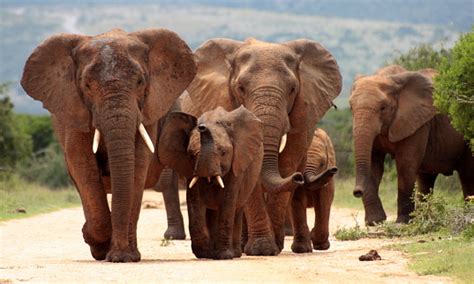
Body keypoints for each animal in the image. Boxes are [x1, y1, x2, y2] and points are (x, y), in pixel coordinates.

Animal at [21, 28, 195, 262]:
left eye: (140, 82)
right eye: (86, 86)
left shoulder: (147, 112)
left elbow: (137, 165)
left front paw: (123, 257)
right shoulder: (74, 110)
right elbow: (83, 166)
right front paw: (97, 244)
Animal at [157, 106, 272, 260]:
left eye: (223, 153)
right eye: (191, 155)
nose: (202, 127)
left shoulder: (236, 165)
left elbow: (228, 202)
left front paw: (224, 256)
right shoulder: (190, 169)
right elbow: (194, 202)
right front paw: (204, 253)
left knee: (237, 209)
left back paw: (235, 253)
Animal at [183, 36, 342, 252]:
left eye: (292, 89)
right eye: (240, 88)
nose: (299, 177)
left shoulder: (305, 108)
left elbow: (288, 160)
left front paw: (274, 247)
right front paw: (263, 249)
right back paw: (242, 247)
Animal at [350, 63, 472, 224]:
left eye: (383, 108)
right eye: (351, 107)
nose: (357, 192)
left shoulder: (417, 121)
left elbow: (406, 164)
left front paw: (401, 222)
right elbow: (372, 163)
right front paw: (375, 222)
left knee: (468, 174)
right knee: (426, 178)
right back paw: (422, 219)